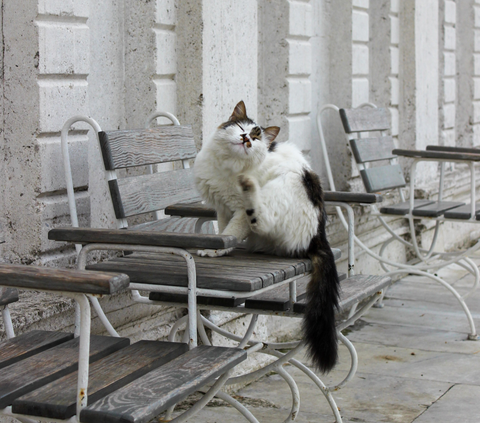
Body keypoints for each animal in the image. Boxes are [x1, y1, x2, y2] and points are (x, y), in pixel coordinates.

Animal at [193, 101, 340, 372]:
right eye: (242, 128)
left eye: (257, 137)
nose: (245, 139)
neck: (228, 166)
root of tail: (319, 234)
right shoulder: (222, 209)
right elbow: (223, 231)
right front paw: (222, 248)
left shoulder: (237, 213)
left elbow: (231, 231)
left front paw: (215, 250)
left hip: (279, 187)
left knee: (259, 219)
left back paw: (249, 186)